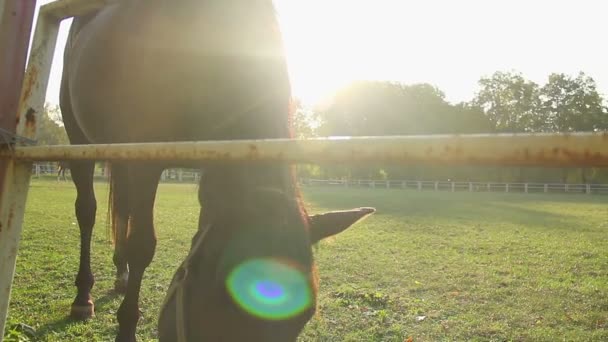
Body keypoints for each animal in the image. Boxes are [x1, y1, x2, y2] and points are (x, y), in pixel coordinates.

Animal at [63, 1, 376, 340]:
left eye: (306, 314)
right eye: (223, 299)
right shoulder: (145, 159)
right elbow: (142, 245)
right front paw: (126, 327)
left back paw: (121, 274)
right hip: (80, 138)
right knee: (88, 211)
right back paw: (83, 296)